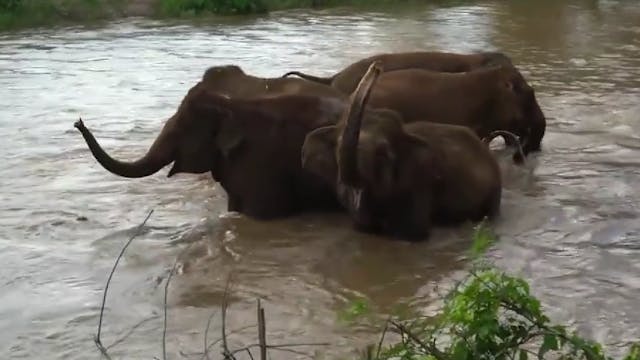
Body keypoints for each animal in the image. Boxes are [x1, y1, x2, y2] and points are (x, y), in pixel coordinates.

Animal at [302, 62, 508, 239]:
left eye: (382, 153)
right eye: (337, 147)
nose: (377, 66)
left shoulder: (420, 182)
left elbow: (411, 233)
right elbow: (363, 226)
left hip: (494, 190)